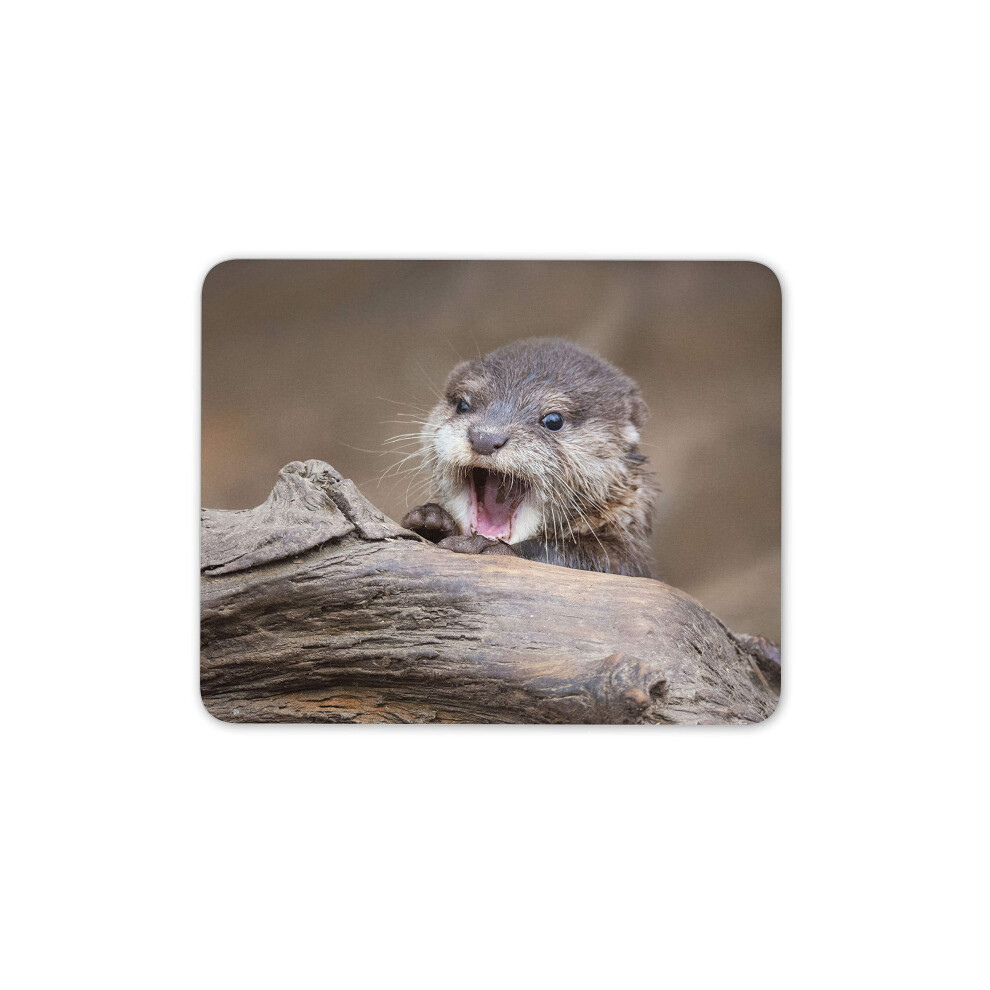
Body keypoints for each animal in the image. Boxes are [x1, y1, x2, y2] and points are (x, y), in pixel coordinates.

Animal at [401, 337, 656, 577]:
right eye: (463, 405)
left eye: (553, 420)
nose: (485, 438)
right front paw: (431, 518)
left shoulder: (626, 557)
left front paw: (490, 547)